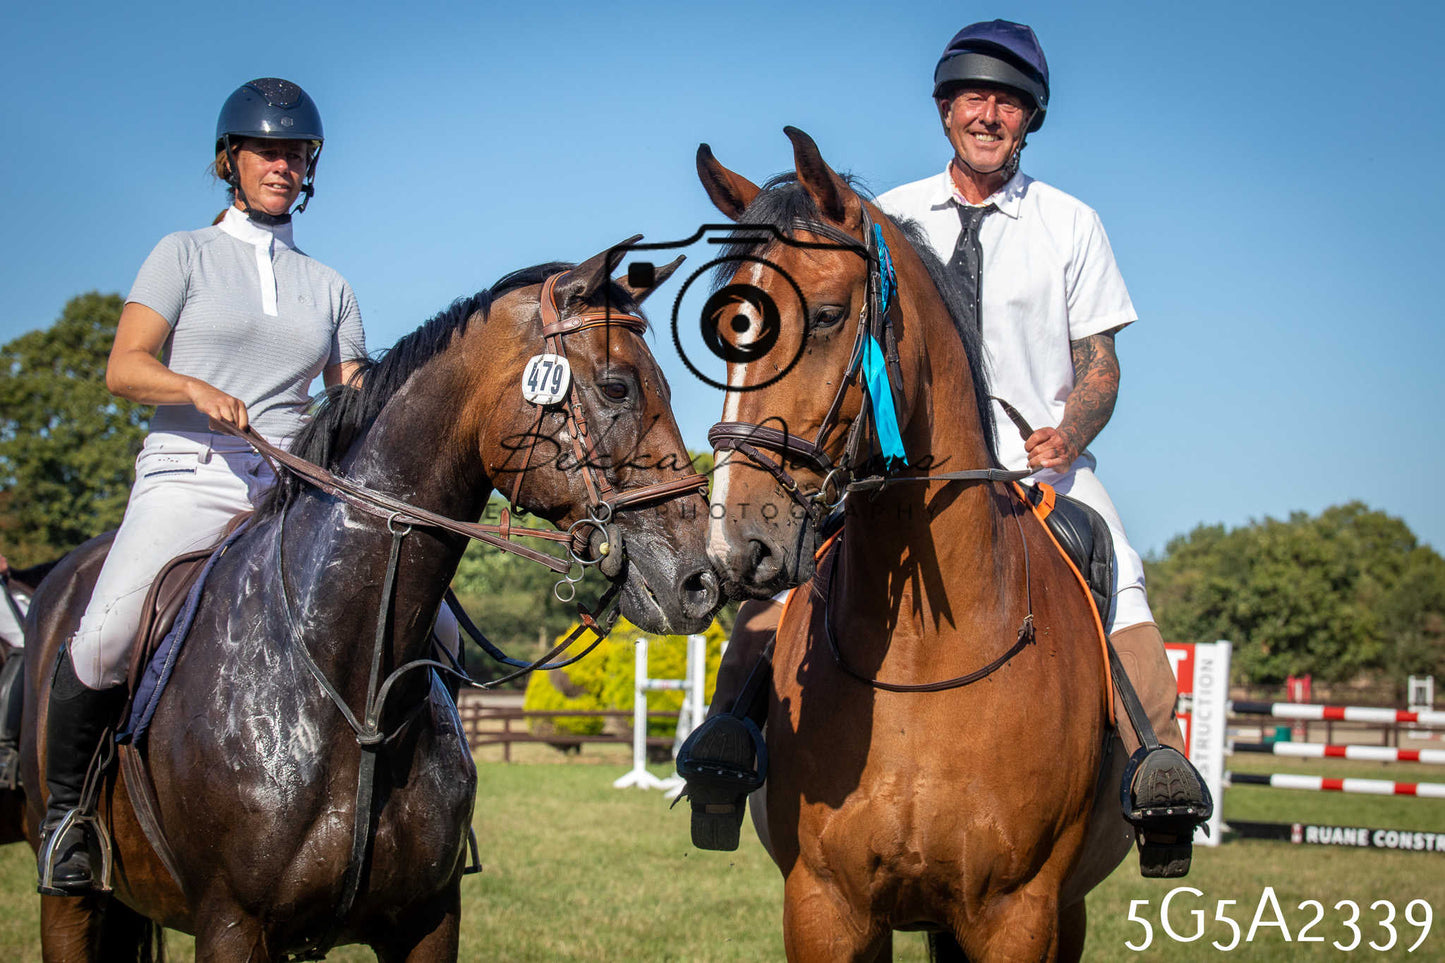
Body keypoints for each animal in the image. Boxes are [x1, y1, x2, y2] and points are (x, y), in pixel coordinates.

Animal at [20, 242, 721, 961]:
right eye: (616, 386)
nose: (700, 581)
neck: (352, 692)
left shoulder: (428, 919)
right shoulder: (232, 924)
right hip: (72, 899)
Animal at [696, 129, 1132, 961]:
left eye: (828, 314)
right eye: (727, 326)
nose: (738, 546)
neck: (922, 659)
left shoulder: (1018, 914)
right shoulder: (825, 906)